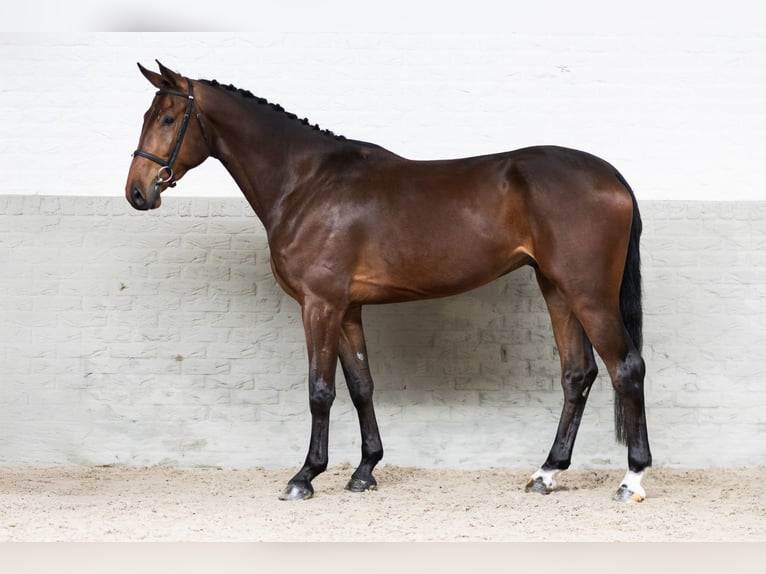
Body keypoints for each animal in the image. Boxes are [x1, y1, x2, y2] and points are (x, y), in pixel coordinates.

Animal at [125, 61, 651, 502]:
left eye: (168, 119)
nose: (137, 192)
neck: (308, 182)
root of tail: (613, 177)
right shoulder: (346, 309)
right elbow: (361, 386)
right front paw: (364, 471)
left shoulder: (318, 304)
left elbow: (320, 390)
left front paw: (305, 476)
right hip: (557, 290)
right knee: (577, 374)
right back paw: (546, 472)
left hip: (589, 294)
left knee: (626, 369)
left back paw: (632, 479)